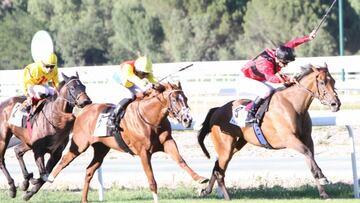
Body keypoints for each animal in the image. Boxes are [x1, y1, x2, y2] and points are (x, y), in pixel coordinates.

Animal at [0, 72, 91, 200]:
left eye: (84, 87)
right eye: (72, 88)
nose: (86, 101)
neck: (56, 118)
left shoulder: (56, 153)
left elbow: (45, 176)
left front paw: (28, 192)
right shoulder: (38, 150)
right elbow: (43, 174)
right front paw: (30, 183)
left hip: (27, 142)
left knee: (18, 150)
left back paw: (25, 181)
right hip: (4, 138)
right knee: (2, 160)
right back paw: (12, 188)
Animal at [49, 81, 210, 203]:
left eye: (186, 98)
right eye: (175, 100)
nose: (187, 119)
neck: (149, 118)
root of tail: (85, 109)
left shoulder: (168, 143)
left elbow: (181, 160)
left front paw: (200, 179)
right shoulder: (143, 152)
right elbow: (151, 179)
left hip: (101, 149)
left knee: (89, 170)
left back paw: (84, 199)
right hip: (80, 143)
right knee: (65, 159)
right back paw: (49, 178)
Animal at [197, 64, 340, 200]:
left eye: (333, 81)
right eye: (322, 82)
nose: (336, 104)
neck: (293, 105)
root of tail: (217, 110)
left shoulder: (307, 139)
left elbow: (310, 161)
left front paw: (324, 193)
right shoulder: (290, 139)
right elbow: (308, 153)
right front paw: (323, 176)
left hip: (236, 145)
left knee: (217, 166)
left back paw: (206, 190)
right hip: (225, 146)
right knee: (220, 172)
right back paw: (227, 197)